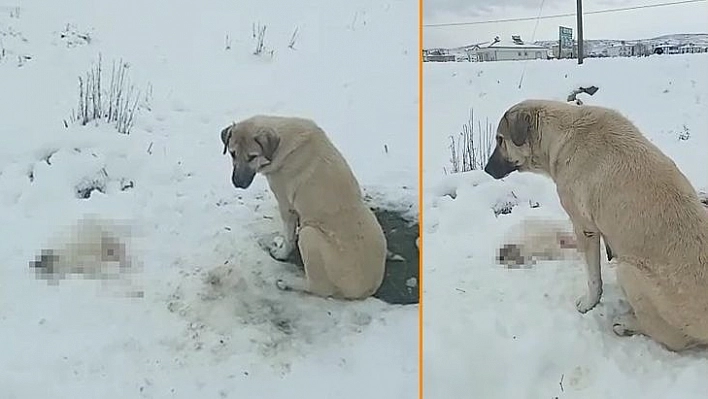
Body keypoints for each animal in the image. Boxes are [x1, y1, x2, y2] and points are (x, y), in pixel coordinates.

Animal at [221, 115, 388, 300]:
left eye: (252, 156)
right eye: (232, 153)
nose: (237, 183)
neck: (283, 146)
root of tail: (368, 290)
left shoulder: (286, 206)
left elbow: (289, 239)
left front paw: (281, 254)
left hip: (308, 234)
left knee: (318, 287)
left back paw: (287, 282)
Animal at [484, 99, 708, 350]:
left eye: (500, 139)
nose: (485, 169)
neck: (559, 135)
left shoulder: (585, 227)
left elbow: (593, 278)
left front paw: (588, 303)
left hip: (627, 270)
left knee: (671, 337)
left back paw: (626, 324)